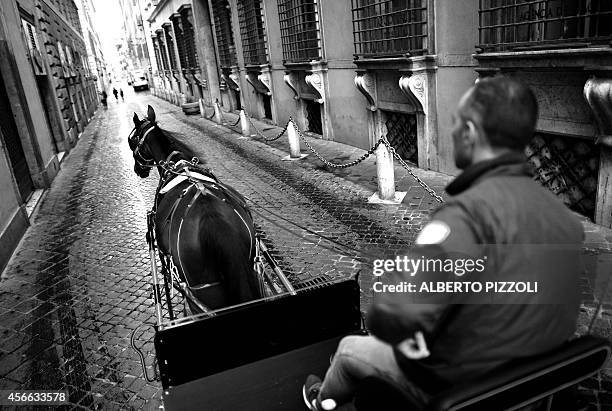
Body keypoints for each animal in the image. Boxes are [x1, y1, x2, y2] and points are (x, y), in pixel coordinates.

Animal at [128, 104, 264, 314]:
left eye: (133, 140)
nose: (138, 170)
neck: (176, 166)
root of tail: (215, 223)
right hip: (254, 272)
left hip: (204, 293)